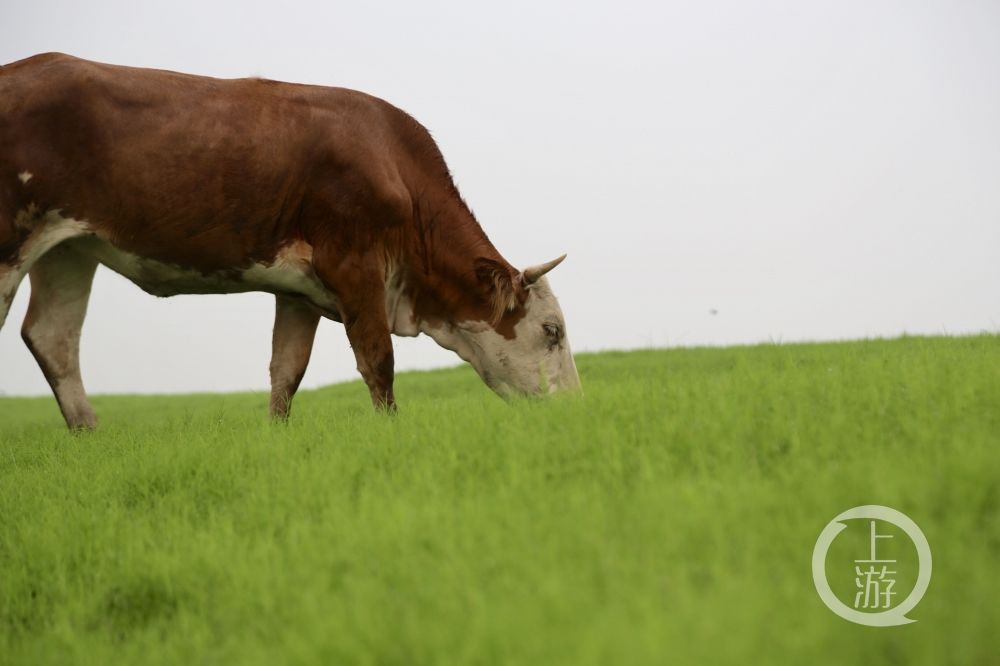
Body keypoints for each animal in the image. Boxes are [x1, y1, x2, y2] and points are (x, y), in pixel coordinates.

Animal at [0, 50, 584, 426]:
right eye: (552, 330)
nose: (577, 408)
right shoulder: (355, 266)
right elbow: (378, 362)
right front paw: (390, 432)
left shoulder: (297, 290)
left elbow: (286, 371)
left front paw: (277, 437)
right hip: (13, 240)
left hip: (69, 249)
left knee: (53, 337)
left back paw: (88, 432)